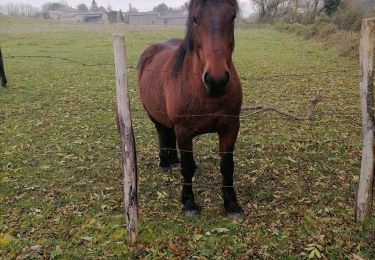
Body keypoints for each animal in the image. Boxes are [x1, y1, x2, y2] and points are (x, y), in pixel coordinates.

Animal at [138, 0, 244, 218]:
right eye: (195, 19)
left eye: (232, 17)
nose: (217, 80)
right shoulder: (184, 131)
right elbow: (188, 166)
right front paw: (189, 203)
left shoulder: (230, 127)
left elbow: (227, 166)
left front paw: (231, 204)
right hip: (153, 115)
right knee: (161, 131)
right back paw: (165, 161)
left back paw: (172, 160)